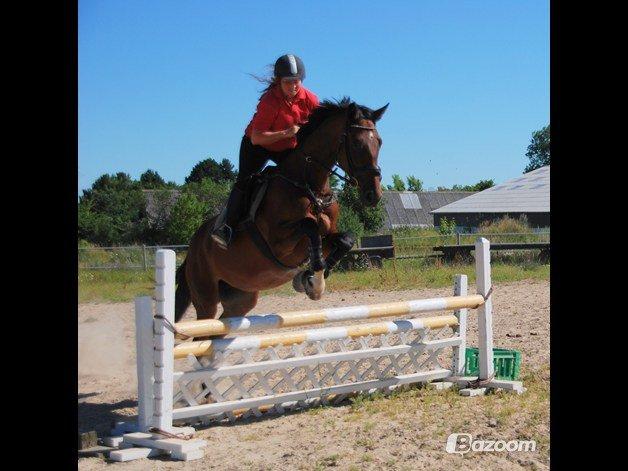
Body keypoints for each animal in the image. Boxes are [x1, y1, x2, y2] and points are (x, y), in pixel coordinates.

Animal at [175, 97, 388, 322]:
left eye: (379, 142)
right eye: (356, 143)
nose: (373, 194)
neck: (310, 187)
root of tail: (192, 248)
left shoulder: (329, 234)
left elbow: (346, 239)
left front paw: (311, 277)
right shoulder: (279, 243)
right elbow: (310, 226)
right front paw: (314, 282)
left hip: (240, 297)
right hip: (205, 296)